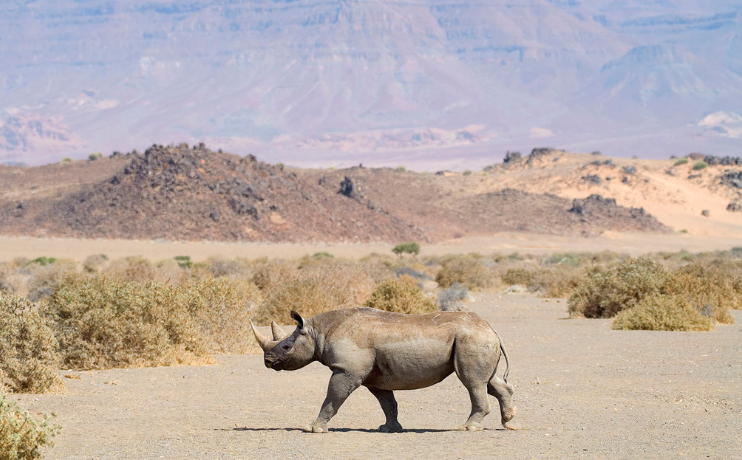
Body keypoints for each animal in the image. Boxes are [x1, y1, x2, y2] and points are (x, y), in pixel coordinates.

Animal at [251, 307, 516, 433]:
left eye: (286, 347)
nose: (267, 361)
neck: (318, 332)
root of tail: (491, 328)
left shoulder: (346, 370)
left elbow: (332, 397)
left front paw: (313, 428)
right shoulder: (375, 378)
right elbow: (388, 403)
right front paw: (389, 429)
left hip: (471, 339)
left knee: (472, 381)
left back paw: (467, 427)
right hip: (476, 339)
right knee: (489, 381)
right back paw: (509, 422)